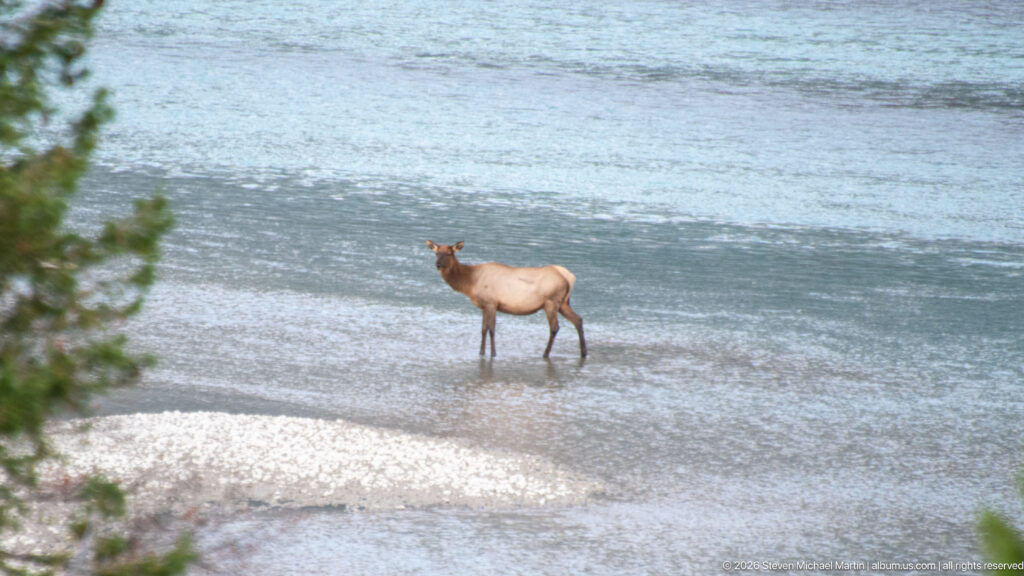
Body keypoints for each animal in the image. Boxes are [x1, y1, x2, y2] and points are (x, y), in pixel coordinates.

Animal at [426, 240, 587, 359]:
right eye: (436, 253)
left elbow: (491, 330)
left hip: (551, 302)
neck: (470, 282)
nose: (438, 264)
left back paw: (545, 354)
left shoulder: (491, 303)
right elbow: (483, 329)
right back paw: (584, 353)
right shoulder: (485, 306)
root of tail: (569, 277)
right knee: (578, 319)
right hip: (563, 303)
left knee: (554, 327)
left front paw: (493, 353)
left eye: (449, 253)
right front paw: (481, 353)